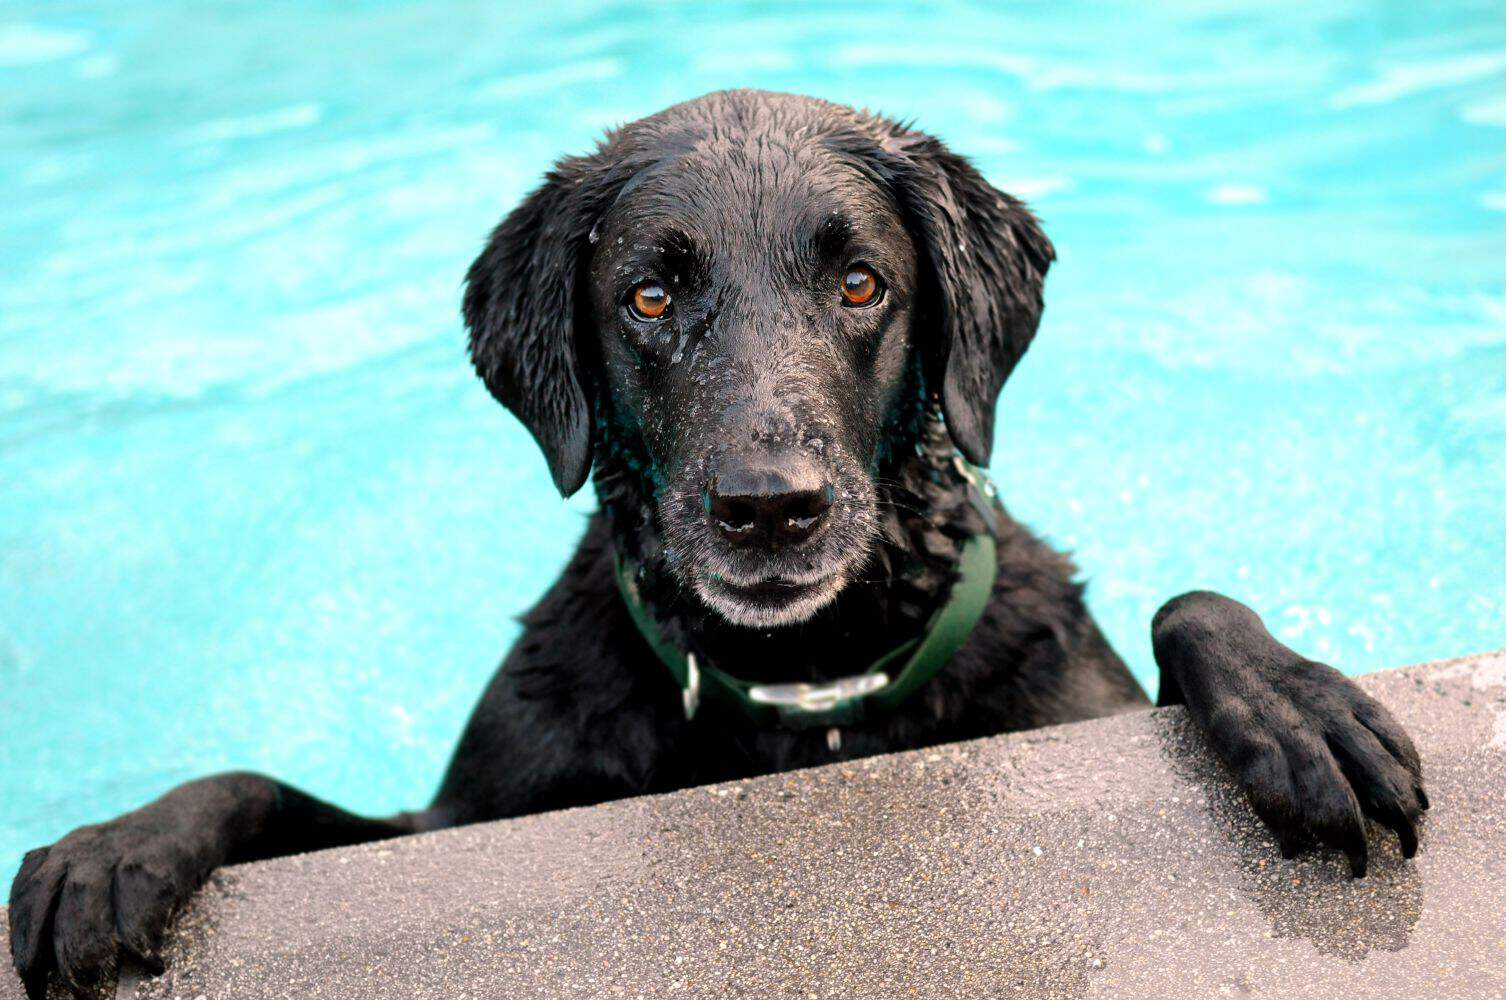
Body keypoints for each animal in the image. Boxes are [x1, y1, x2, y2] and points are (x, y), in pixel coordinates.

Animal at [8, 89, 1421, 993]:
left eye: (860, 284)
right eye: (648, 295)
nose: (769, 505)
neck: (807, 695)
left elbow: (1190, 603)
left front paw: (1301, 711)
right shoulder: (454, 815)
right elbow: (252, 784)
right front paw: (113, 849)